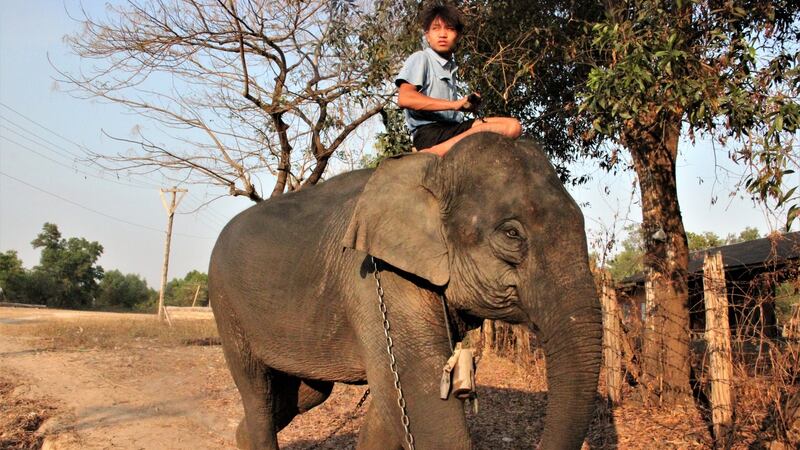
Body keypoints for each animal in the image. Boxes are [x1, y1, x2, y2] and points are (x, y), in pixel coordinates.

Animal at [209, 133, 602, 450]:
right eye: (511, 234)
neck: (433, 169)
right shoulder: (376, 279)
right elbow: (425, 411)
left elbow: (393, 401)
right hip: (226, 306)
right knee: (258, 392)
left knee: (304, 395)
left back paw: (242, 437)